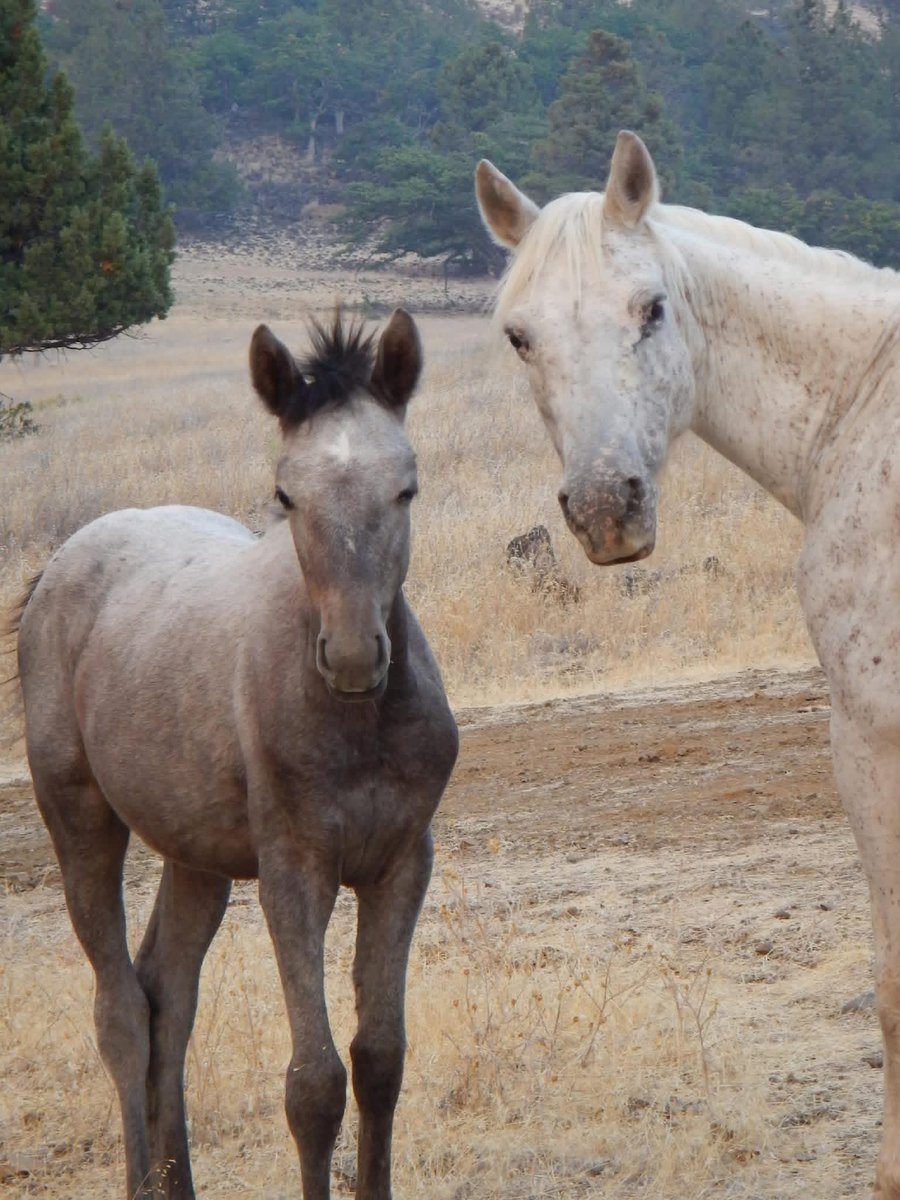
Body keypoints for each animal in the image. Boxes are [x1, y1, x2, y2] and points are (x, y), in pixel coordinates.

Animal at [13, 308, 459, 1200]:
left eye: (407, 486)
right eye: (287, 494)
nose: (352, 657)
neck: (361, 725)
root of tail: (58, 566)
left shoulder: (401, 863)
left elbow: (380, 1059)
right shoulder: (295, 868)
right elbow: (314, 1084)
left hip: (198, 857)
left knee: (166, 994)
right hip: (79, 819)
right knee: (121, 1013)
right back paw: (140, 1179)